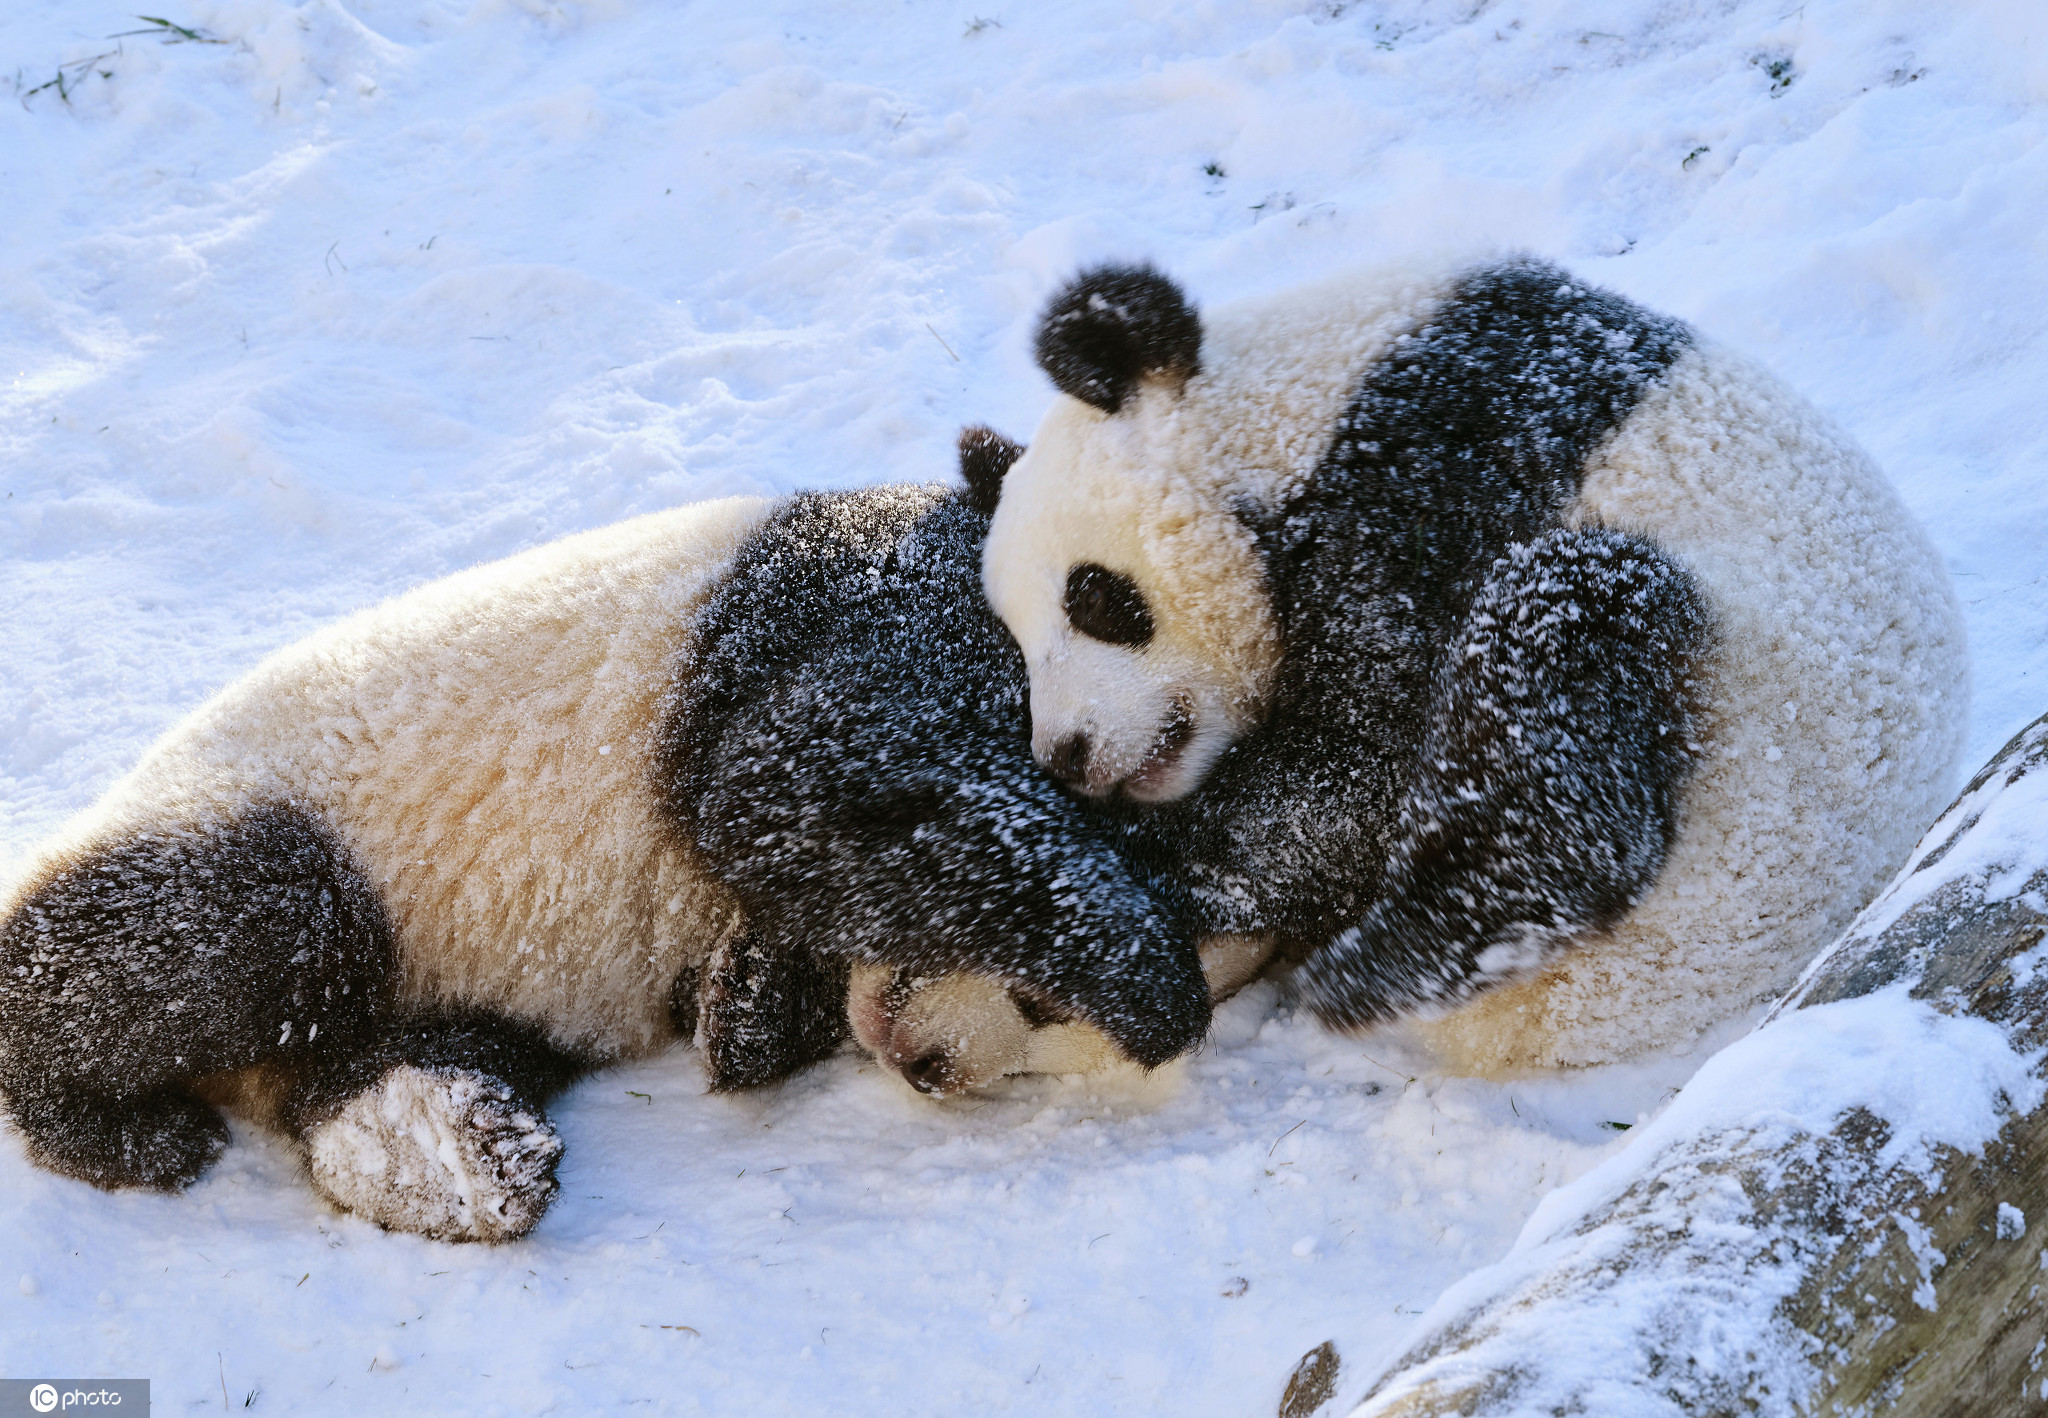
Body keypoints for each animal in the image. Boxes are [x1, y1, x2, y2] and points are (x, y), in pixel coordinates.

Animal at [0, 481, 1220, 1245]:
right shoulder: (886, 599)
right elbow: (813, 776)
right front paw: (1145, 973)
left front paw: (750, 995)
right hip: (281, 819)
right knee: (238, 932)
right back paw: (125, 1128)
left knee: (365, 1069)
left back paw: (461, 1151)